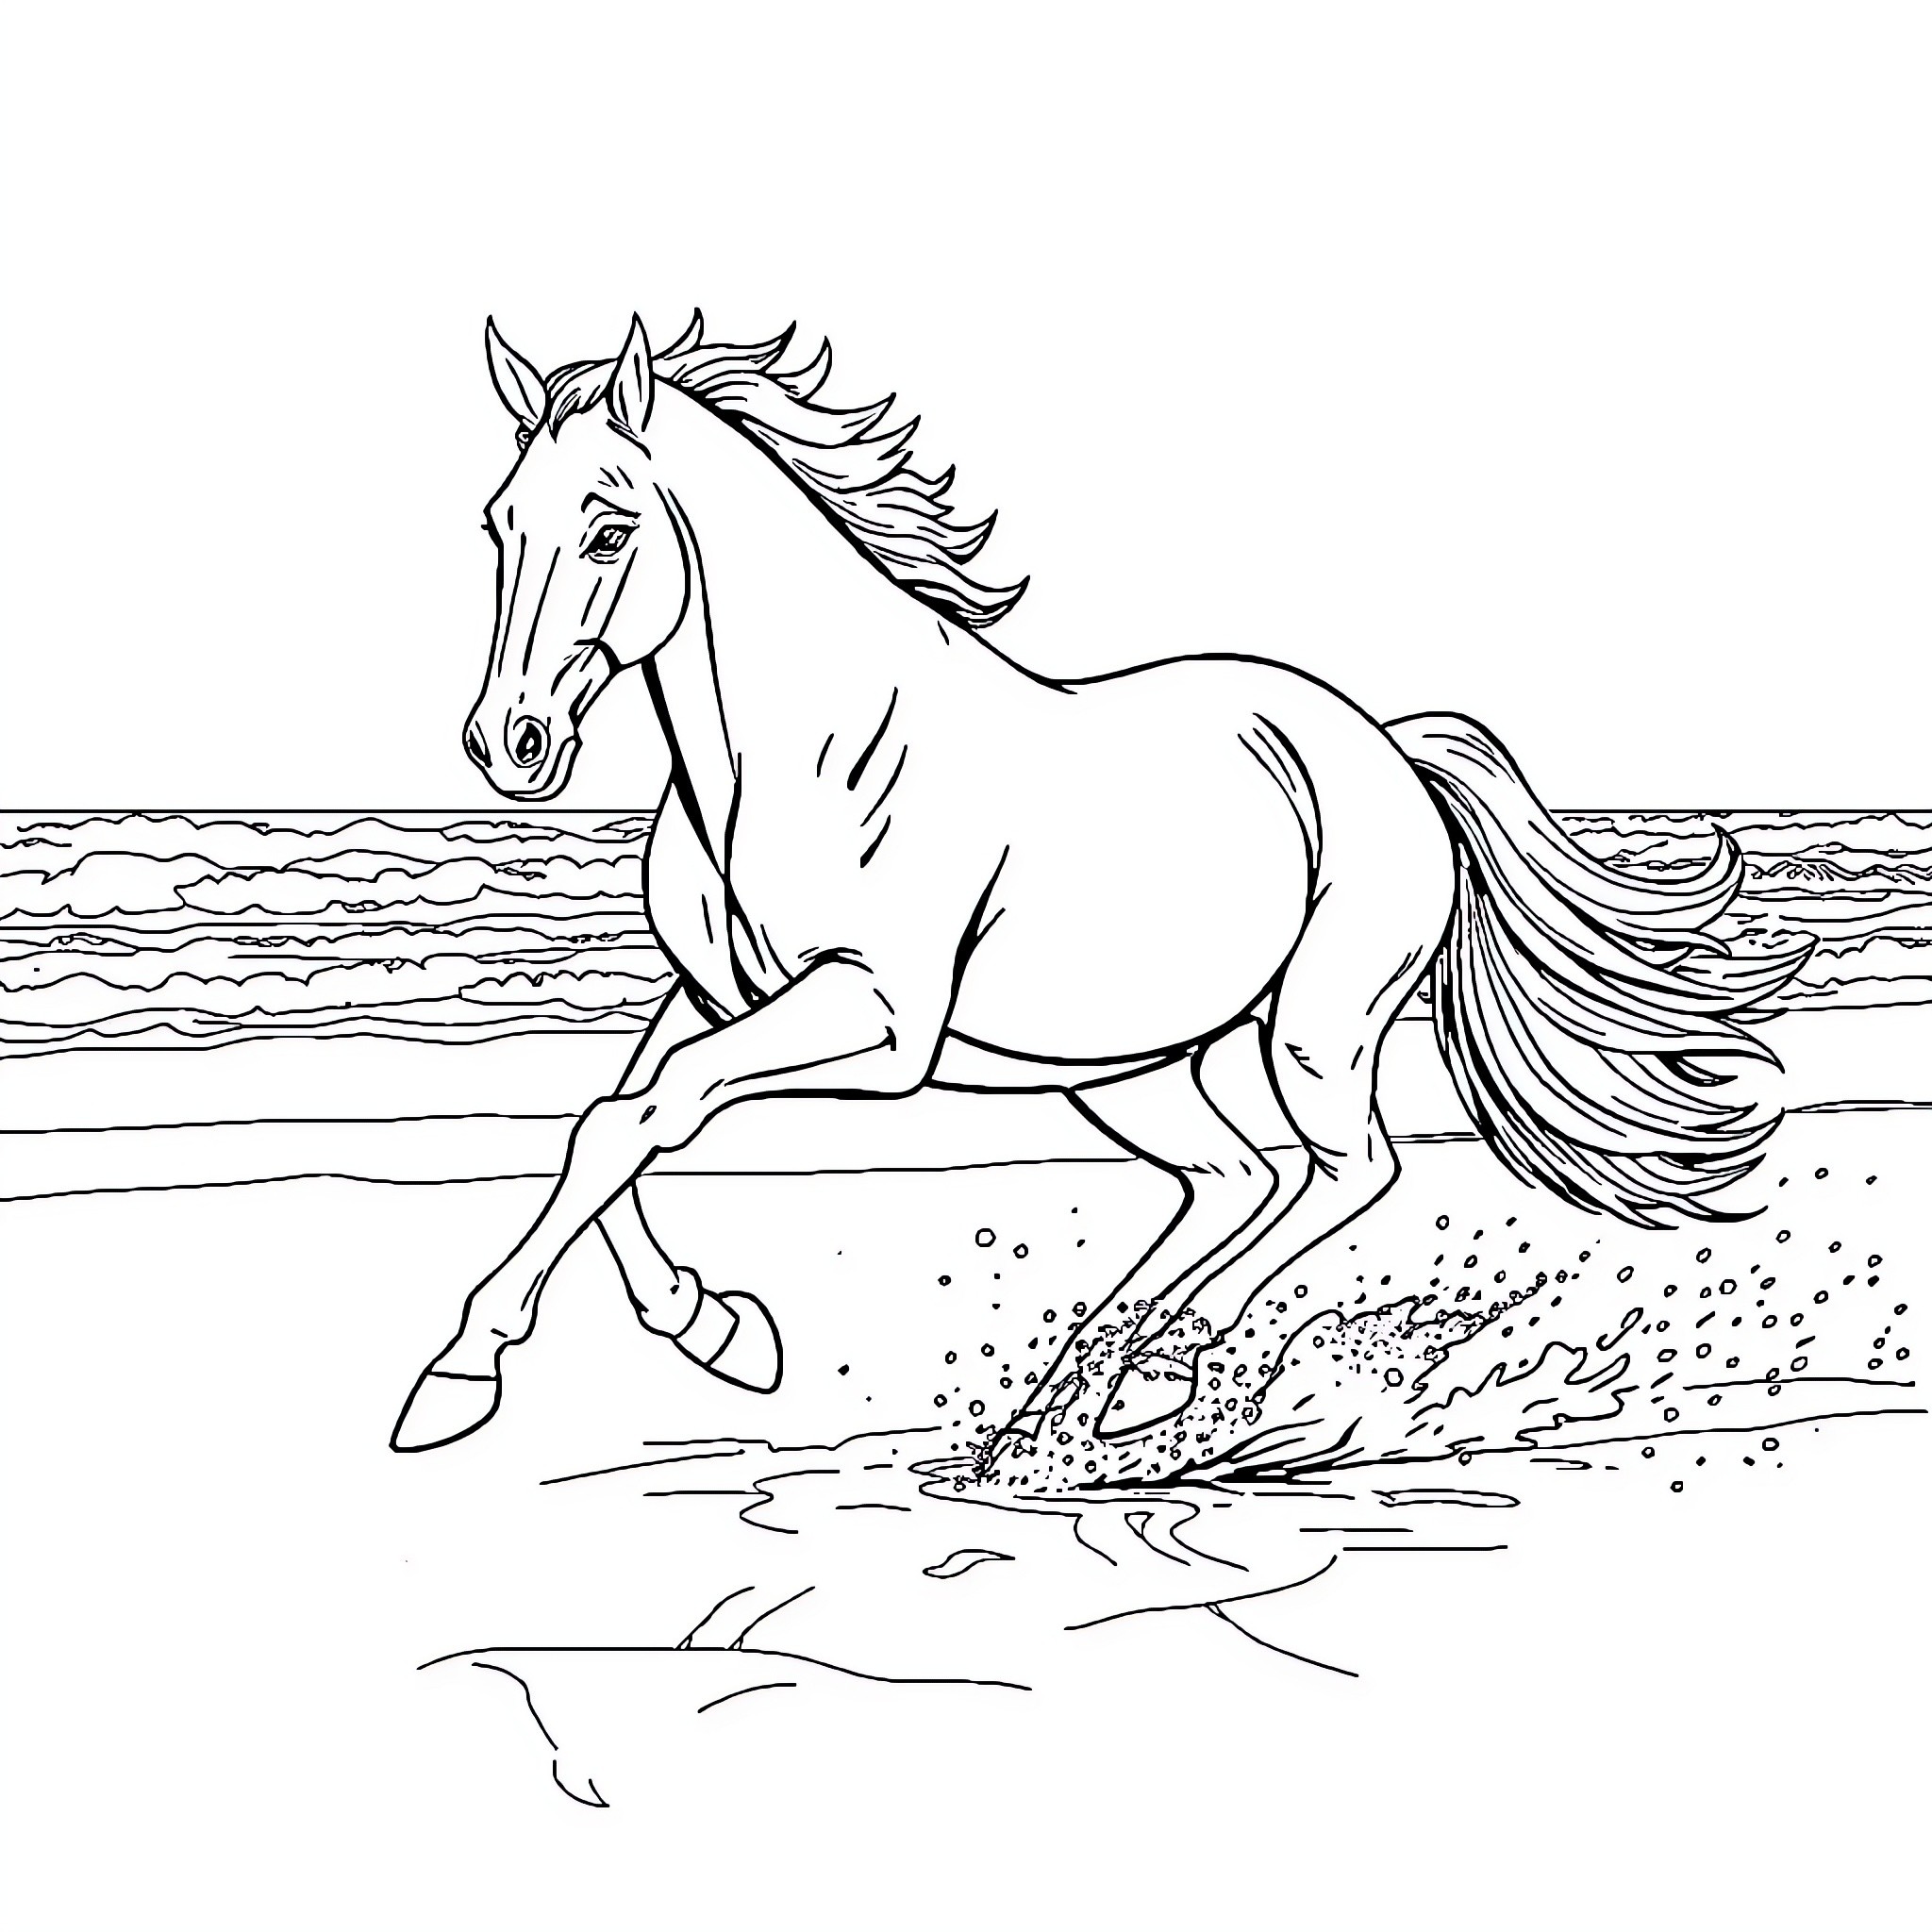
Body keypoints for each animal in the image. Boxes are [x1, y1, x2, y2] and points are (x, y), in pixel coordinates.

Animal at [390, 311, 1810, 1459]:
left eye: (609, 529)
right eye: (499, 523)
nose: (509, 743)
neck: (790, 753)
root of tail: (1387, 752)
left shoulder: (878, 1024)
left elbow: (650, 1110)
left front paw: (459, 1378)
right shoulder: (716, 994)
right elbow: (611, 1117)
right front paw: (712, 1328)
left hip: (1313, 1031)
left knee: (1345, 1173)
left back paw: (1156, 1373)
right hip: (1131, 1073)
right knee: (1237, 1178)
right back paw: (1080, 1393)